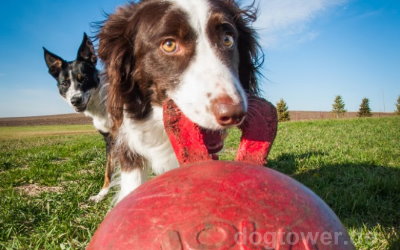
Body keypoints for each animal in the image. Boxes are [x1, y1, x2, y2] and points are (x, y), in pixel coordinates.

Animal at [44, 33, 115, 202]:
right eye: (64, 83)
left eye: (84, 79)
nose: (75, 100)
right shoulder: (109, 139)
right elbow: (108, 170)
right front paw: (101, 194)